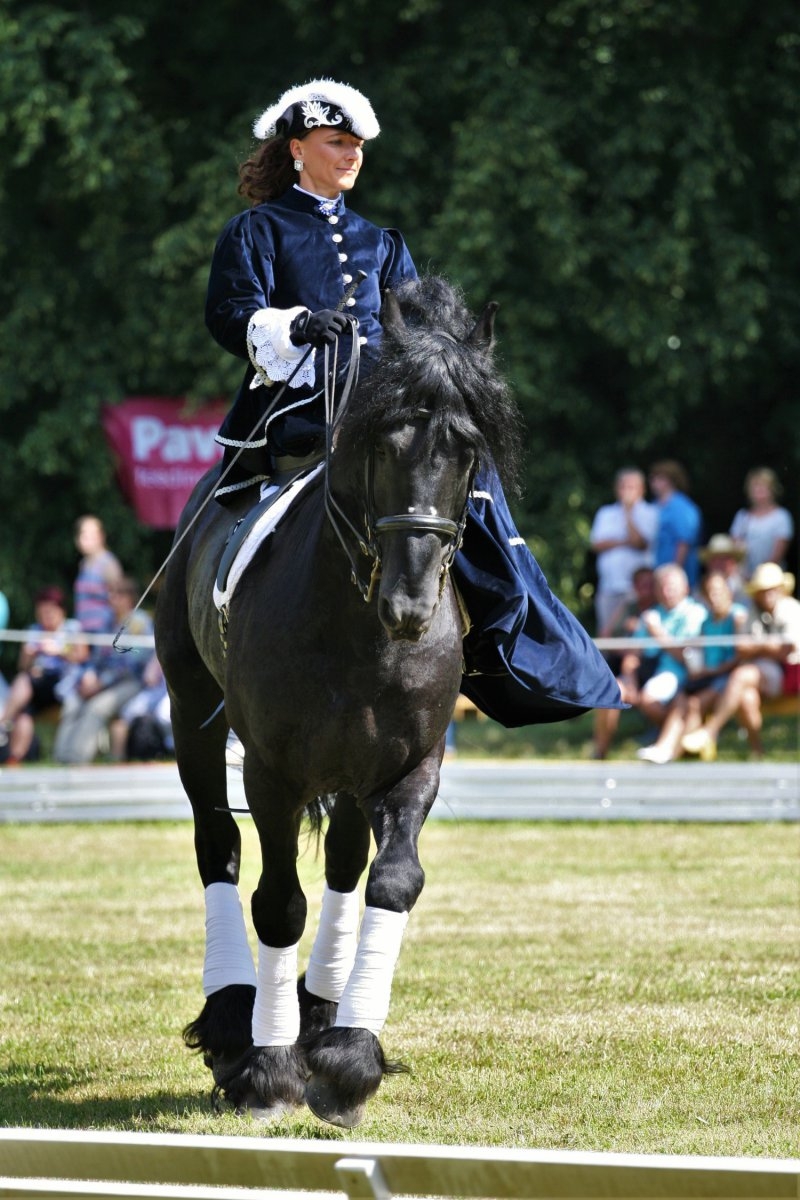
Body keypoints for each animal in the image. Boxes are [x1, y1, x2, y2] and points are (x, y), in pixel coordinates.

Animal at [154, 276, 522, 1128]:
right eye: (383, 444)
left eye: (467, 451)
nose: (411, 605)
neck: (360, 629)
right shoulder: (272, 771)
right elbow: (277, 902)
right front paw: (268, 1068)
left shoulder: (410, 766)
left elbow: (392, 882)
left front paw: (349, 1057)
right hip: (192, 714)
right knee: (217, 846)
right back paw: (235, 1022)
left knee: (349, 868)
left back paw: (320, 1014)